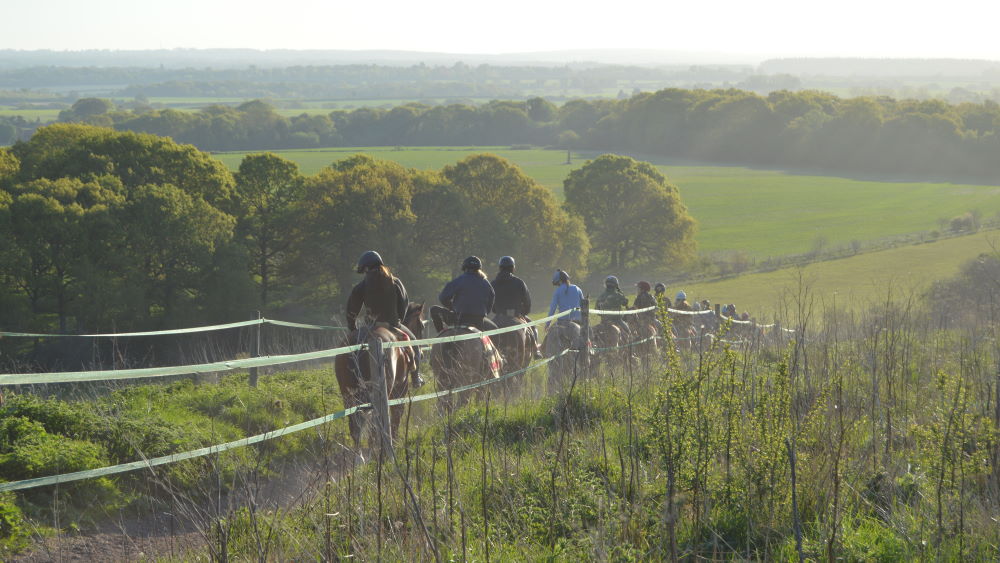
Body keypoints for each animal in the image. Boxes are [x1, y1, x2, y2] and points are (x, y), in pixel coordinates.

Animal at [334, 304, 424, 454]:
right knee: (376, 424)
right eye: (421, 326)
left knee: (355, 427)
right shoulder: (401, 388)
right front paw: (395, 441)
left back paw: (359, 455)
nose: (421, 353)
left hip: (348, 396)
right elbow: (396, 415)